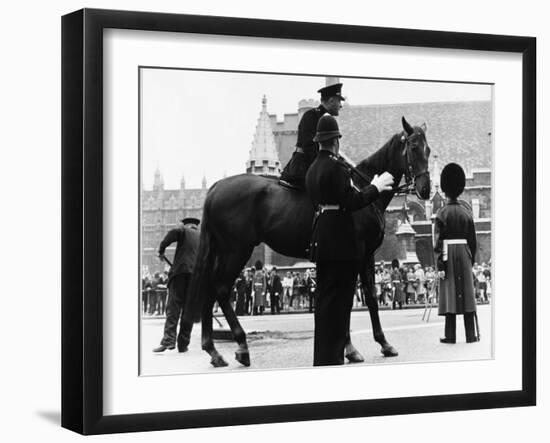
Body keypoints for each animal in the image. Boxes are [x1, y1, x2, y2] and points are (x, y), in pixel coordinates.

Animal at [188, 115, 434, 368]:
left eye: (429, 149)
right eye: (414, 147)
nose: (425, 189)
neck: (362, 189)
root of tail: (216, 188)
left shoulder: (364, 255)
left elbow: (368, 297)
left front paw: (372, 345)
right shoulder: (356, 254)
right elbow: (351, 298)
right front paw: (359, 346)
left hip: (222, 250)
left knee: (209, 287)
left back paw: (213, 351)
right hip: (237, 250)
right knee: (221, 288)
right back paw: (242, 346)